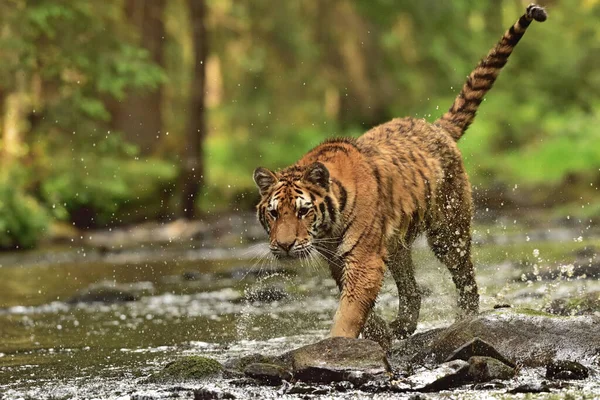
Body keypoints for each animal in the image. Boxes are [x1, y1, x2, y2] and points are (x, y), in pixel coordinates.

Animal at [251, 4, 548, 340]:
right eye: (274, 213)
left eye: (303, 211)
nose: (285, 246)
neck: (327, 230)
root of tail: (435, 127)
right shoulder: (339, 261)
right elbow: (360, 307)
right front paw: (378, 333)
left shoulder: (364, 260)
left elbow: (349, 311)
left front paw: (339, 342)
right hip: (397, 245)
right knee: (411, 288)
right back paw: (403, 326)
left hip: (449, 232)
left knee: (465, 277)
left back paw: (465, 318)